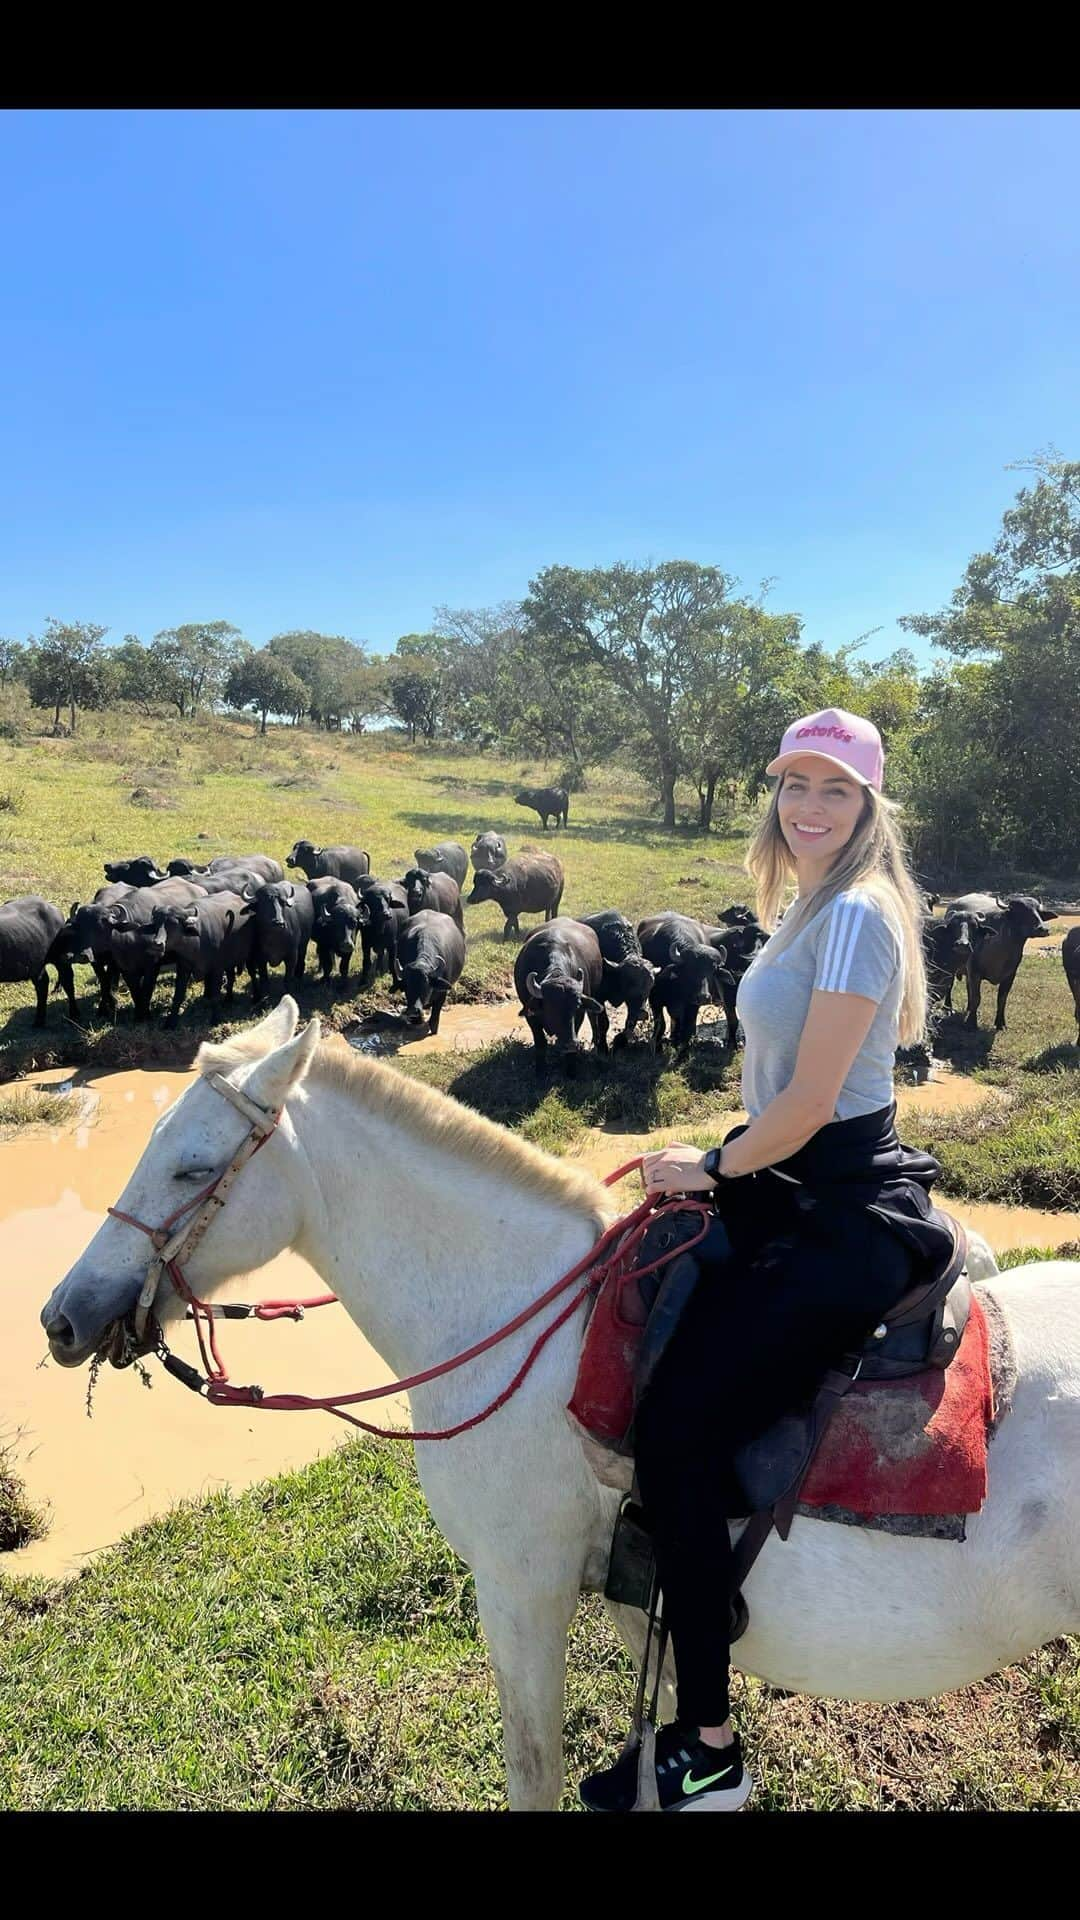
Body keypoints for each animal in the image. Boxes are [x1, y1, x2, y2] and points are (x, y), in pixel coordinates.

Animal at [39, 998, 1076, 1804]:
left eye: (190, 1166)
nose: (62, 1317)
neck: (524, 1318)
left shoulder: (522, 1588)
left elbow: (532, 1768)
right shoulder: (641, 1611)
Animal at [147, 890, 255, 1029]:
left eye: (173, 924)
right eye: (156, 923)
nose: (157, 944)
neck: (196, 945)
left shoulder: (217, 969)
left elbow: (215, 995)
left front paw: (215, 1019)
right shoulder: (183, 967)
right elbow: (178, 995)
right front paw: (170, 1022)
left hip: (250, 954)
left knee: (252, 974)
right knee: (231, 977)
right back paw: (228, 999)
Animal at [945, 890, 1045, 1029]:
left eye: (1038, 911)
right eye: (1021, 911)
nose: (1043, 929)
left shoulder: (1010, 975)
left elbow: (1001, 999)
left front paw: (1000, 1023)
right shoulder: (974, 972)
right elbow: (976, 997)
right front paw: (971, 1023)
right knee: (949, 985)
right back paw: (948, 1008)